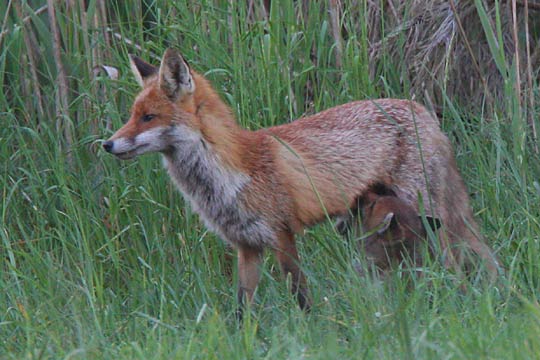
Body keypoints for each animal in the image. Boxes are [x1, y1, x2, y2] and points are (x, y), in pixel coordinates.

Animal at [103, 47, 500, 312]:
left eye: (148, 117)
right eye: (131, 115)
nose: (106, 145)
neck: (230, 174)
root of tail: (422, 110)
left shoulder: (282, 235)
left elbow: (301, 297)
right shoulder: (246, 246)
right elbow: (242, 309)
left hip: (426, 216)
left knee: (452, 265)